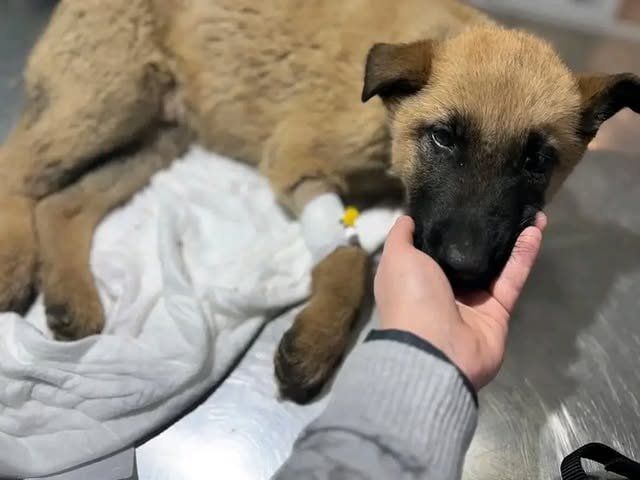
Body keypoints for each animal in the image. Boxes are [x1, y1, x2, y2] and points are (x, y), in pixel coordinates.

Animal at [0, 0, 636, 404]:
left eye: (537, 161)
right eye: (443, 137)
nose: (465, 269)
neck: (386, 122)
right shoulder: (295, 159)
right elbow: (349, 256)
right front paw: (319, 340)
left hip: (160, 132)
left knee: (63, 204)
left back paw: (72, 297)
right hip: (106, 98)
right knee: (17, 170)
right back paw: (14, 263)